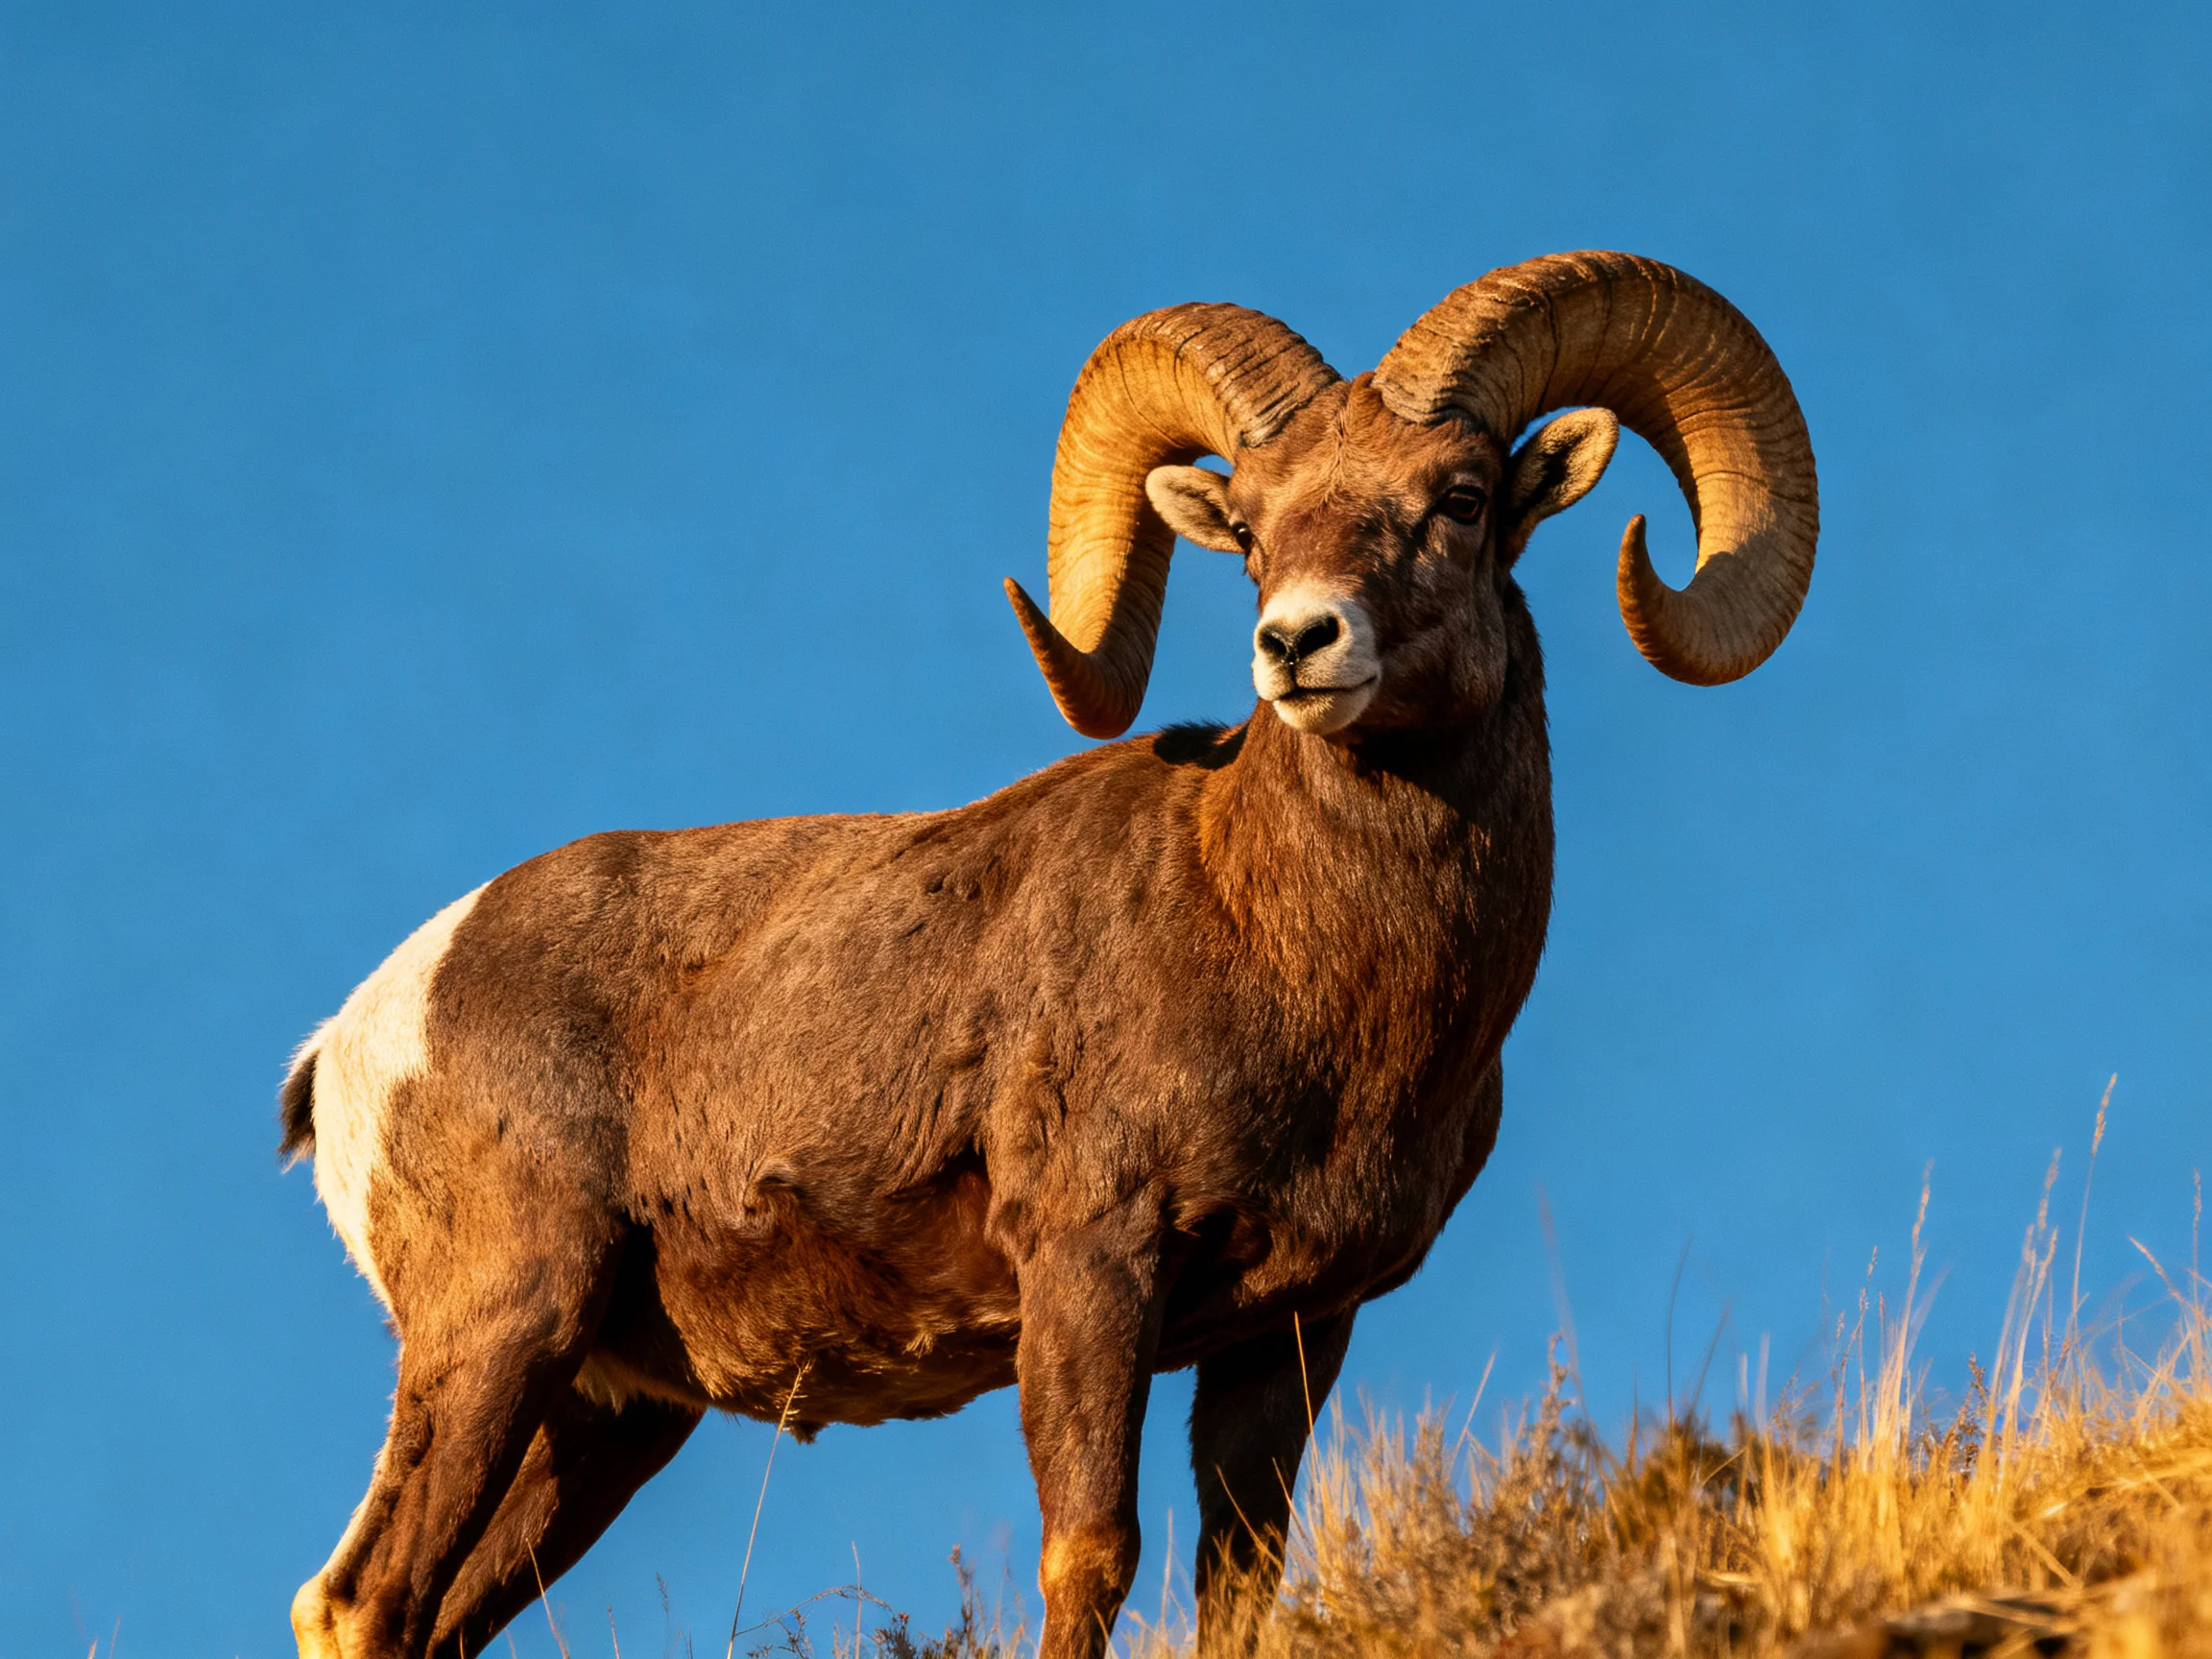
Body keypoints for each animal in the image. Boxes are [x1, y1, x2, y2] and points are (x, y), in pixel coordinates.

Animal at [280, 250, 1818, 1659]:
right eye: (1248, 527)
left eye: (1460, 499)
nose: (1298, 643)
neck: (1294, 966)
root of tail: (361, 1034)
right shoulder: (1090, 1269)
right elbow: (1090, 1555)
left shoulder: (1289, 1335)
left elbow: (1241, 1586)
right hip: (501, 1331)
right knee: (360, 1603)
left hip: (600, 1420)